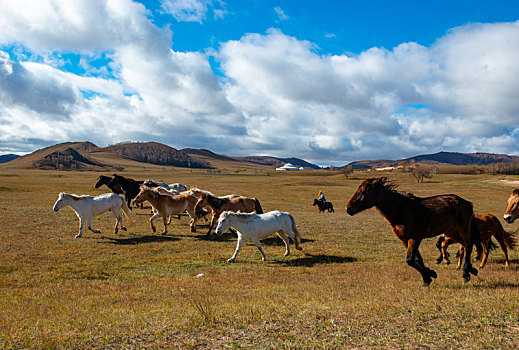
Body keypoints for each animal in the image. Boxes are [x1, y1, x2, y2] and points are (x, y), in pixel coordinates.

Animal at [348, 176, 482, 286]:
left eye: (364, 191)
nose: (349, 208)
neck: (402, 211)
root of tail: (467, 203)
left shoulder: (415, 238)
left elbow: (410, 260)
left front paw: (430, 275)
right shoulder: (404, 240)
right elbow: (417, 259)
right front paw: (428, 277)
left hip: (463, 228)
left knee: (468, 245)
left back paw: (465, 274)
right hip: (451, 232)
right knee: (466, 245)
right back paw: (471, 270)